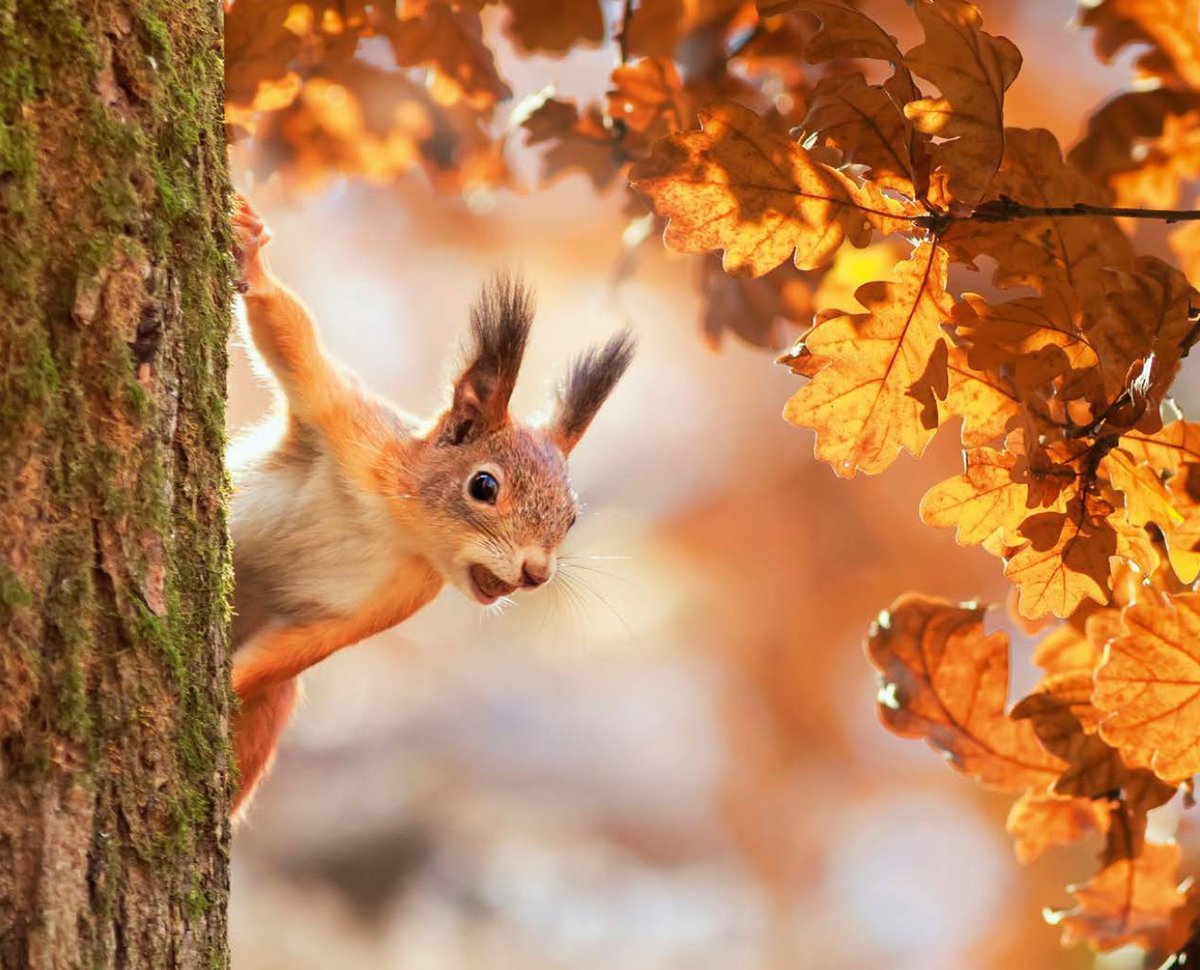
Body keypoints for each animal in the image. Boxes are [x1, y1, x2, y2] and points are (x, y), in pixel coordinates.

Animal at [228, 195, 634, 815]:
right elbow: (290, 336)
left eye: (570, 517)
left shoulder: (391, 600)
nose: (536, 573)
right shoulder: (352, 426)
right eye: (484, 486)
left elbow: (291, 652)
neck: (395, 524)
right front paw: (252, 254)